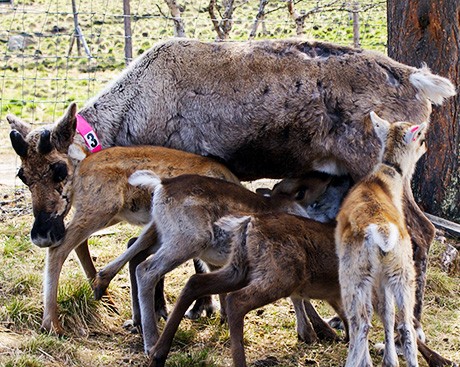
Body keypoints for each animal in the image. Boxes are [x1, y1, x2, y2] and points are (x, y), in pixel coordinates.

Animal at [334, 112, 428, 367]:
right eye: (420, 136)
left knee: (361, 322)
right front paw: (390, 360)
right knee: (405, 323)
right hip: (401, 270)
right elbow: (387, 313)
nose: (425, 145)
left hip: (355, 273)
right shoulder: (384, 276)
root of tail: (384, 233)